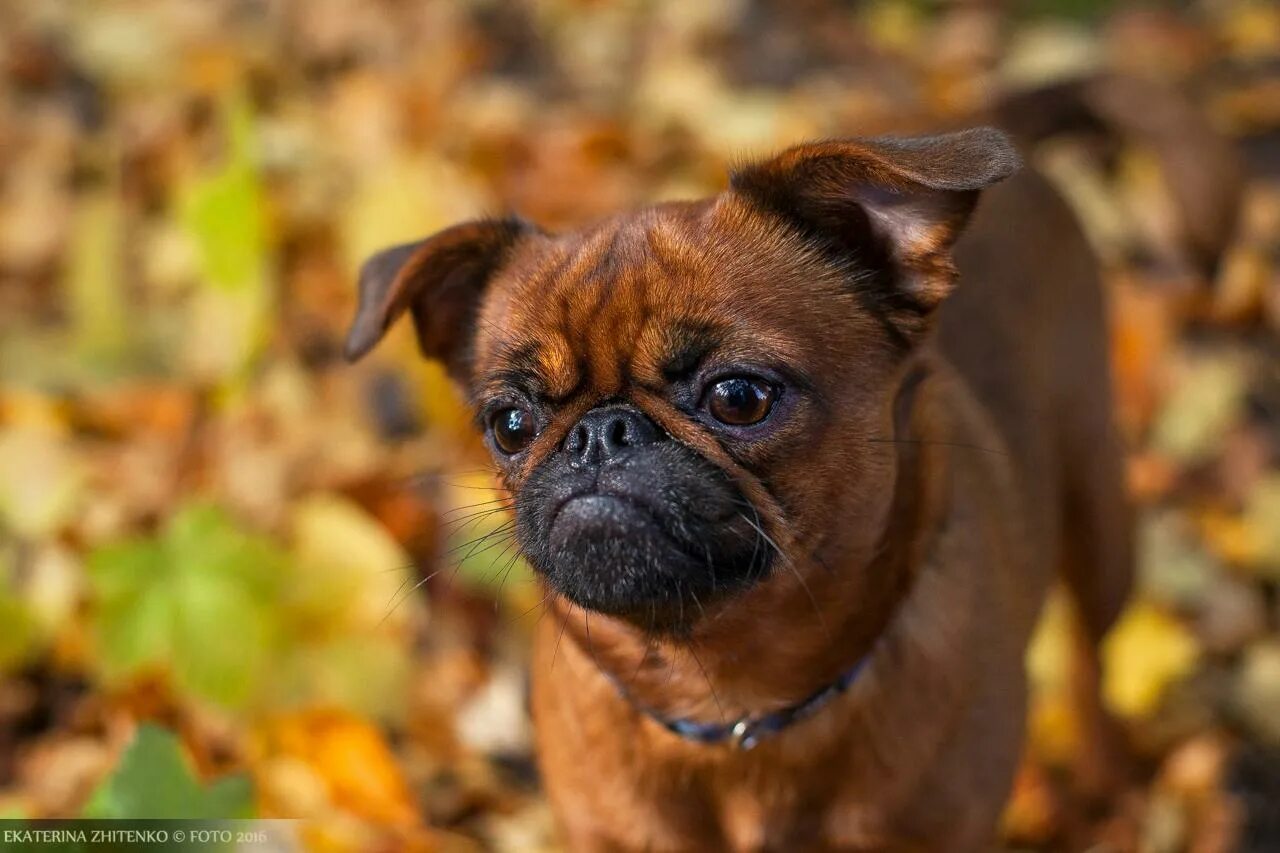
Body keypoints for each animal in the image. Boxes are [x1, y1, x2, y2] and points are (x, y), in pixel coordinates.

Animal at [348, 128, 1131, 850]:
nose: (601, 433)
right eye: (509, 425)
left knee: (1093, 657)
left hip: (1100, 517)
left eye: (739, 398)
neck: (727, 701)